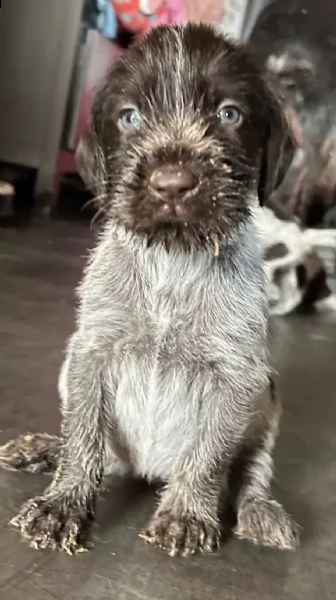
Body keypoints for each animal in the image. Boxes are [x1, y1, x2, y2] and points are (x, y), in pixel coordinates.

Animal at [0, 23, 300, 556]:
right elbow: (83, 436)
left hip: (267, 400)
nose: (172, 183)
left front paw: (187, 512)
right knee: (95, 447)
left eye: (229, 114)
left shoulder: (239, 374)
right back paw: (45, 449)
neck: (174, 256)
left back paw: (258, 507)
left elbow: (210, 452)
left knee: (251, 470)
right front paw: (65, 501)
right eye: (130, 117)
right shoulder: (91, 352)